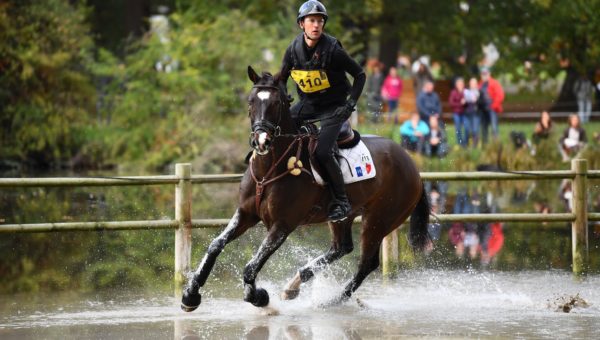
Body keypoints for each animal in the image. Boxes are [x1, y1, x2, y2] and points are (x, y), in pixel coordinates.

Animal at [180, 65, 428, 312]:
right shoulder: (246, 214)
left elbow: (251, 265)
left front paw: (258, 296)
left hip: (379, 220)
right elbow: (215, 245)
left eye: (276, 103)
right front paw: (190, 295)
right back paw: (294, 285)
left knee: (366, 262)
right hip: (343, 217)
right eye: (251, 101)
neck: (270, 168)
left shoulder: (282, 225)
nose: (261, 141)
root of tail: (411, 164)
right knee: (341, 248)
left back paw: (333, 300)